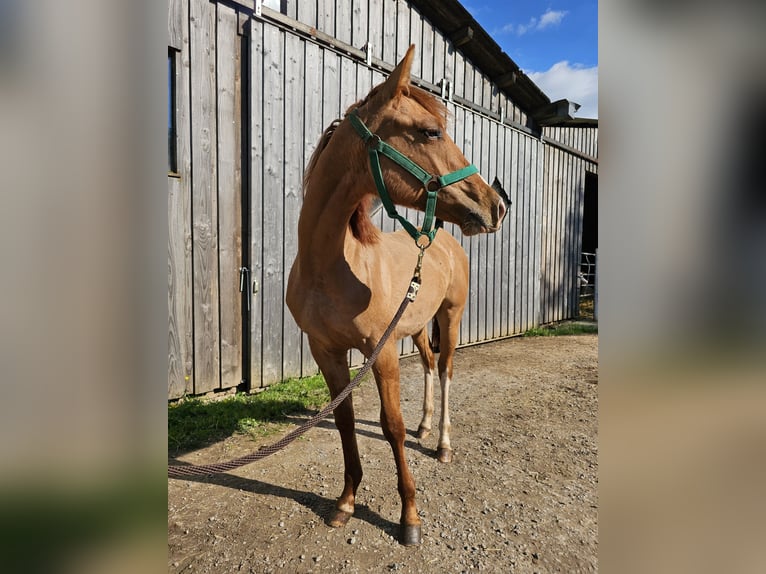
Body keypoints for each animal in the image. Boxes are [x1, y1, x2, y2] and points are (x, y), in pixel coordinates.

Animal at [285, 45, 507, 546]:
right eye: (430, 131)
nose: (496, 206)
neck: (331, 266)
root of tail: (443, 241)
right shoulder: (326, 351)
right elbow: (345, 423)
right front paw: (346, 502)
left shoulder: (380, 352)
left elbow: (392, 427)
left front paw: (409, 516)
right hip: (417, 325)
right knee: (426, 364)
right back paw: (428, 426)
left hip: (450, 317)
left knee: (444, 371)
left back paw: (442, 443)